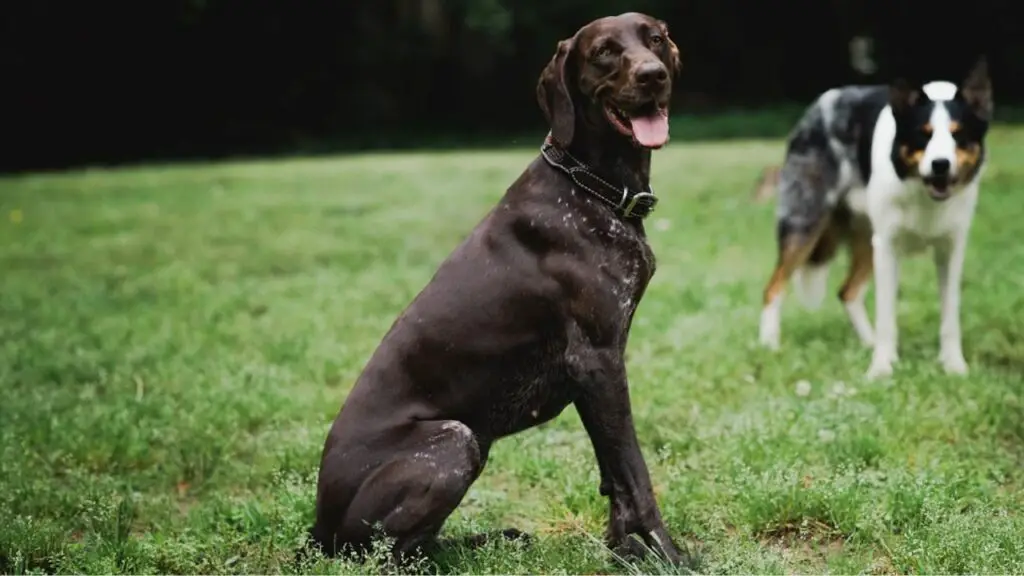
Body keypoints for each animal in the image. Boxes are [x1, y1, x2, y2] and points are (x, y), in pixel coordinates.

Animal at [307, 11, 684, 561]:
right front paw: (671, 557)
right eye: (604, 53)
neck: (588, 185)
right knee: (395, 554)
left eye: (654, 39)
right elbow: (635, 474)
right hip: (455, 440)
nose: (652, 75)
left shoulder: (592, 376)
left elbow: (613, 475)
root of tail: (318, 531)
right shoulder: (598, 361)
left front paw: (623, 551)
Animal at [757, 59, 987, 377]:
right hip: (805, 225)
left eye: (958, 135)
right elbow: (887, 316)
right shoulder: (888, 248)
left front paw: (954, 366)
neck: (922, 192)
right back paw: (769, 344)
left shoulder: (951, 250)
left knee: (848, 292)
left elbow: (950, 316)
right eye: (923, 133)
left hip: (867, 238)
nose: (940, 165)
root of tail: (816, 107)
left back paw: (868, 341)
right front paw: (882, 369)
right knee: (773, 287)